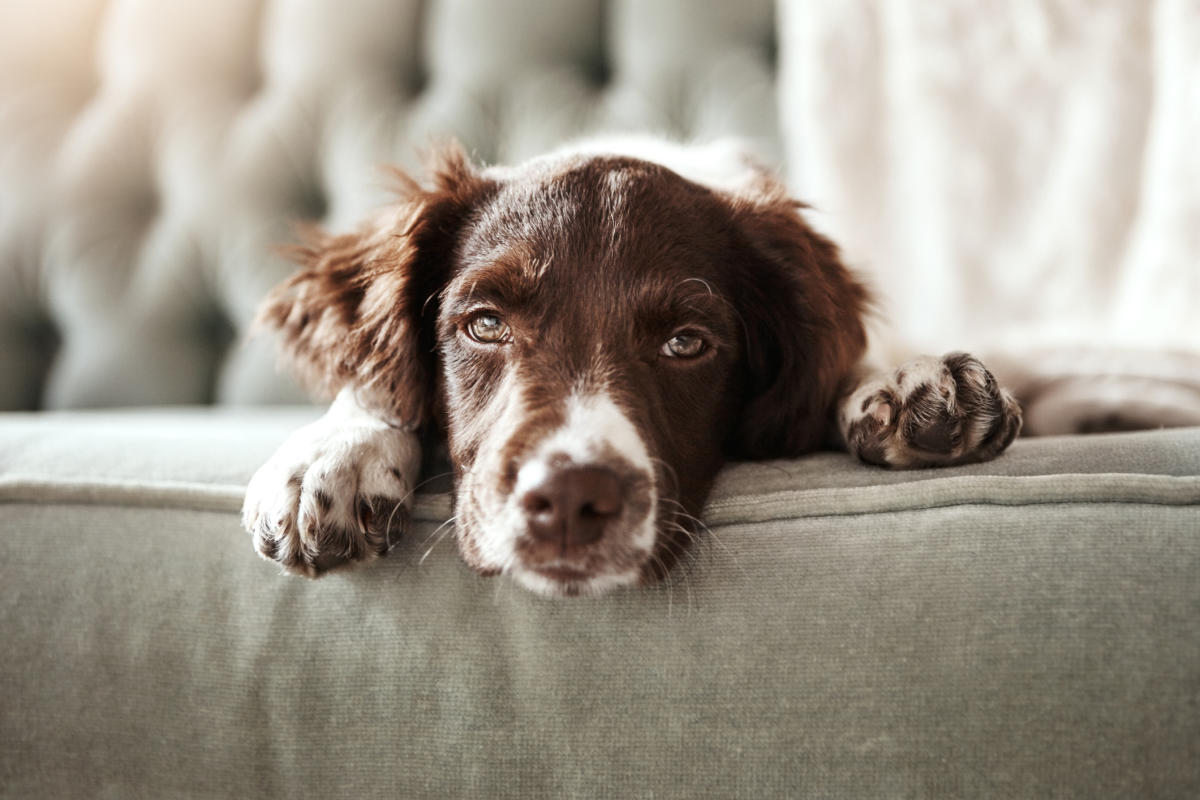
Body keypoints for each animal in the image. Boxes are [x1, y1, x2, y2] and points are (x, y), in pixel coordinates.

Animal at [241, 137, 1022, 597]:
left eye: (687, 343)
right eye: (484, 324)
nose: (567, 499)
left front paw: (909, 383)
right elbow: (373, 383)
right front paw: (331, 455)